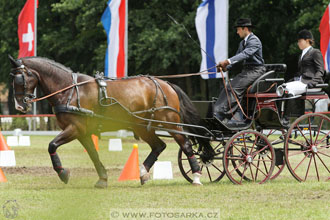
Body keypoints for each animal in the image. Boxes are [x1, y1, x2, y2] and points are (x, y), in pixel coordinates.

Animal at [9, 55, 211, 188]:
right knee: (159, 146)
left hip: (171, 123)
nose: (19, 106)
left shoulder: (75, 128)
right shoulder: (82, 132)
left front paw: (62, 173)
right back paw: (143, 173)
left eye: (19, 78)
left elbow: (52, 145)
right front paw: (102, 179)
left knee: (185, 144)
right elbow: (93, 154)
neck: (69, 91)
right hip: (143, 126)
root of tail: (166, 84)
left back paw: (196, 176)